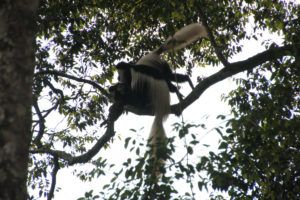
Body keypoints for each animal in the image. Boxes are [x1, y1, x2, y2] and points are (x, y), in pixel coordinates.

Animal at [113, 23, 207, 170]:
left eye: (120, 73)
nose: (118, 78)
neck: (131, 68)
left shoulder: (133, 77)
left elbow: (133, 93)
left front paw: (120, 95)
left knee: (157, 86)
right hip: (163, 66)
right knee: (169, 77)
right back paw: (185, 83)